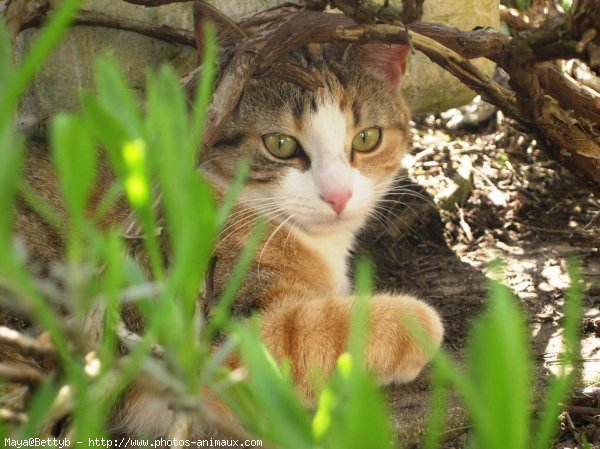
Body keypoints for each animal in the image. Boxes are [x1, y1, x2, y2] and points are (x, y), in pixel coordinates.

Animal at [2, 1, 442, 440]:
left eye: (367, 138)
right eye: (280, 144)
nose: (338, 196)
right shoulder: (196, 340)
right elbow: (303, 332)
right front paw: (414, 321)